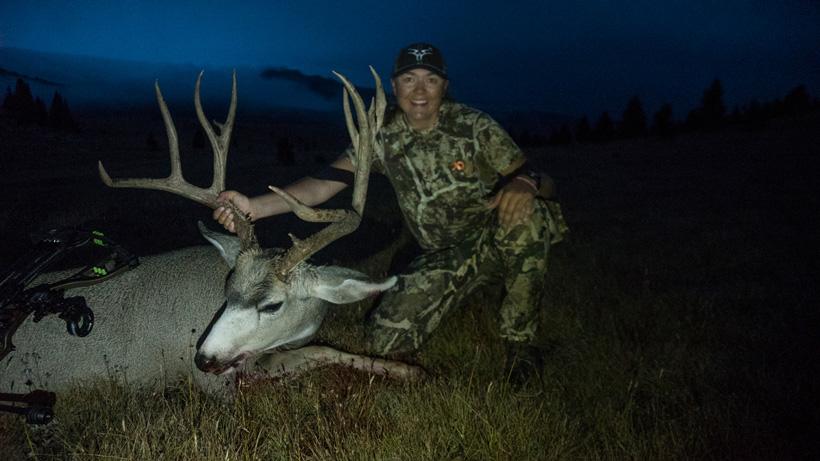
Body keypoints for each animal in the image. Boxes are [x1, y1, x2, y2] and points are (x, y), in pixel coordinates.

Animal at [1, 69, 424, 396]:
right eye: (227, 288)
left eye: (272, 305)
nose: (204, 358)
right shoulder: (212, 379)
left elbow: (326, 351)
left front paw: (407, 370)